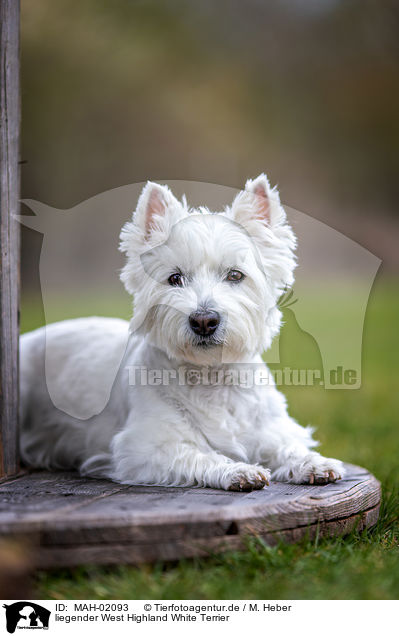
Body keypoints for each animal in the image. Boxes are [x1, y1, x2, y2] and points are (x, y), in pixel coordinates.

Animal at [19, 176, 344, 490]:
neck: (212, 379)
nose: (204, 320)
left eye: (235, 275)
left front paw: (316, 464)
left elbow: (288, 447)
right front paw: (239, 470)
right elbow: (201, 455)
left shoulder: (272, 430)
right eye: (174, 278)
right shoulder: (145, 447)